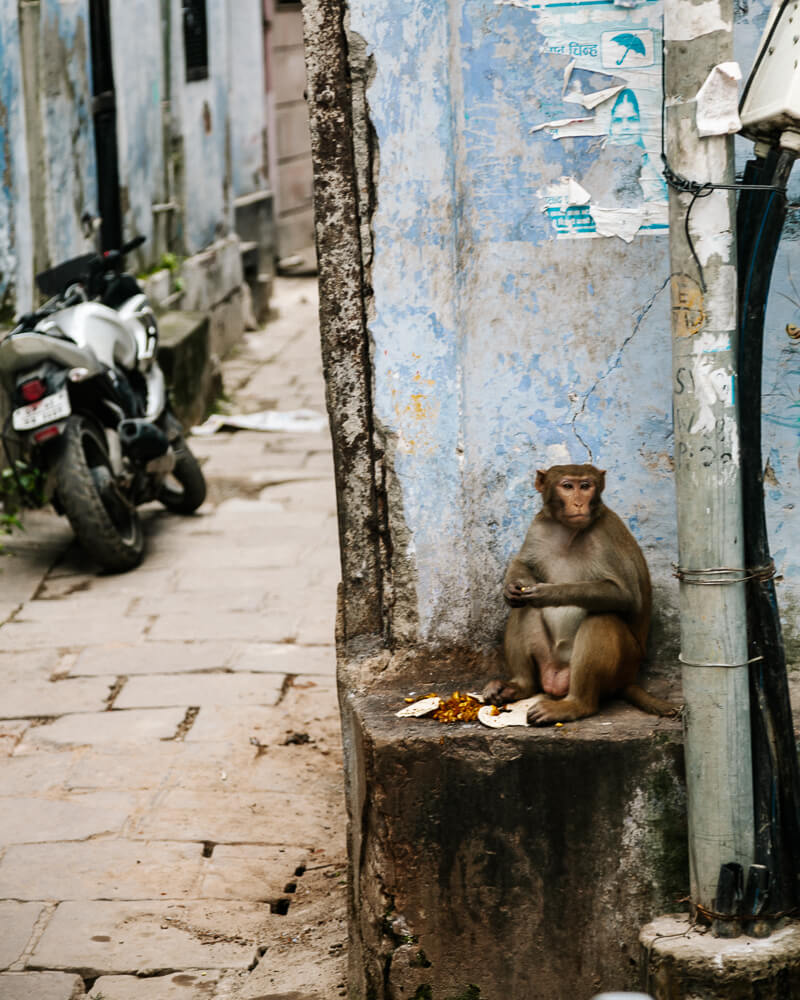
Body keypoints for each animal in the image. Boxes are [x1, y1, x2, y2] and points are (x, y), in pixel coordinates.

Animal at [482, 464, 676, 724]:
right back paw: (519, 686)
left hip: (624, 665)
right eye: (567, 486)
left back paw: (575, 705)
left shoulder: (606, 535)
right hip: (549, 660)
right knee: (523, 609)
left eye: (585, 486)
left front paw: (548, 593)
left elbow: (624, 596)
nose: (578, 503)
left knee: (601, 619)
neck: (569, 532)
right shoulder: (539, 526)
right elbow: (523, 564)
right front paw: (511, 588)